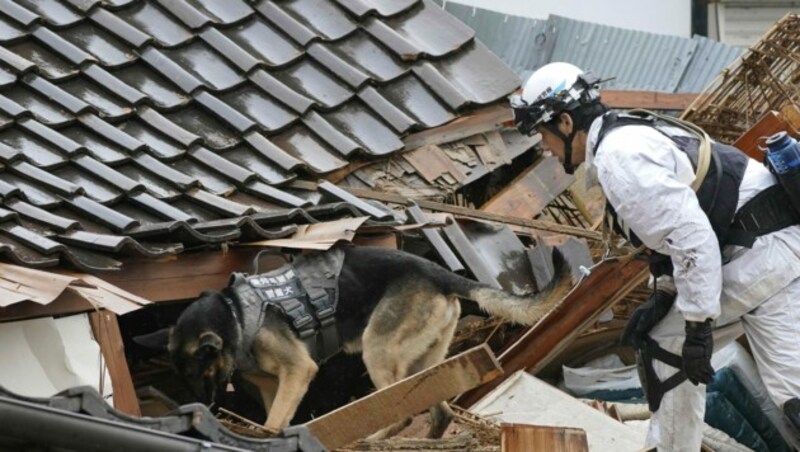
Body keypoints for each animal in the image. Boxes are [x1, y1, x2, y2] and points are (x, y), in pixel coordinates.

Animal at [141, 245, 572, 440]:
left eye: (200, 372)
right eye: (183, 376)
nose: (207, 404)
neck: (233, 314)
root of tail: (438, 273)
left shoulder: (298, 371)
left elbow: (277, 420)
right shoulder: (272, 385)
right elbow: (275, 417)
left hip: (377, 352)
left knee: (400, 411)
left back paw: (374, 437)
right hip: (425, 363)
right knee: (439, 411)